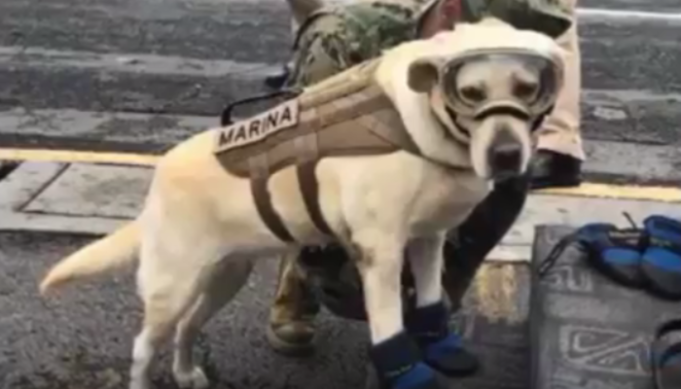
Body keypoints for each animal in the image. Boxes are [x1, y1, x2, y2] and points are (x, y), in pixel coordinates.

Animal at [39, 19, 564, 389]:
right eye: (470, 93)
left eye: (528, 89)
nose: (507, 156)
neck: (420, 123)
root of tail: (157, 185)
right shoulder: (379, 253)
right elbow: (390, 325)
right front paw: (408, 373)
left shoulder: (429, 240)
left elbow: (431, 300)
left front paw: (440, 345)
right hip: (173, 287)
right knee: (143, 347)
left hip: (224, 277)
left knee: (188, 327)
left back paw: (187, 372)